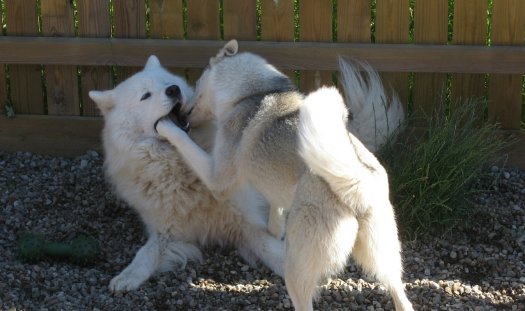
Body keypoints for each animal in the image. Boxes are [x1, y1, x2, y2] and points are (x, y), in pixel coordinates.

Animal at [90, 55, 286, 292]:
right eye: (145, 96)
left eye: (168, 83)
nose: (173, 90)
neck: (179, 166)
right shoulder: (166, 231)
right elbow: (145, 253)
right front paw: (127, 276)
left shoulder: (248, 223)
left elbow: (273, 251)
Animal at [156, 40, 414, 310]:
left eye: (196, 83)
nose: (181, 113)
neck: (251, 94)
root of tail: (356, 183)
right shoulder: (276, 192)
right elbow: (274, 212)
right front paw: (272, 231)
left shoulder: (217, 178)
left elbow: (185, 143)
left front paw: (166, 126)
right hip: (382, 261)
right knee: (402, 298)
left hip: (297, 270)